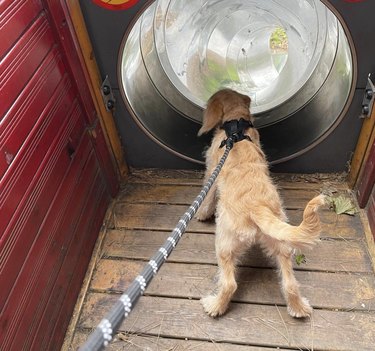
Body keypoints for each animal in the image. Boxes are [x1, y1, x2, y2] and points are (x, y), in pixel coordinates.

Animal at [197, 88, 326, 320]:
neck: (236, 126)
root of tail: (257, 207)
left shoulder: (212, 170)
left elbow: (208, 194)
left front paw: (202, 213)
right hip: (282, 246)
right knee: (290, 284)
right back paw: (299, 308)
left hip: (224, 245)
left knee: (229, 284)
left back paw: (214, 305)